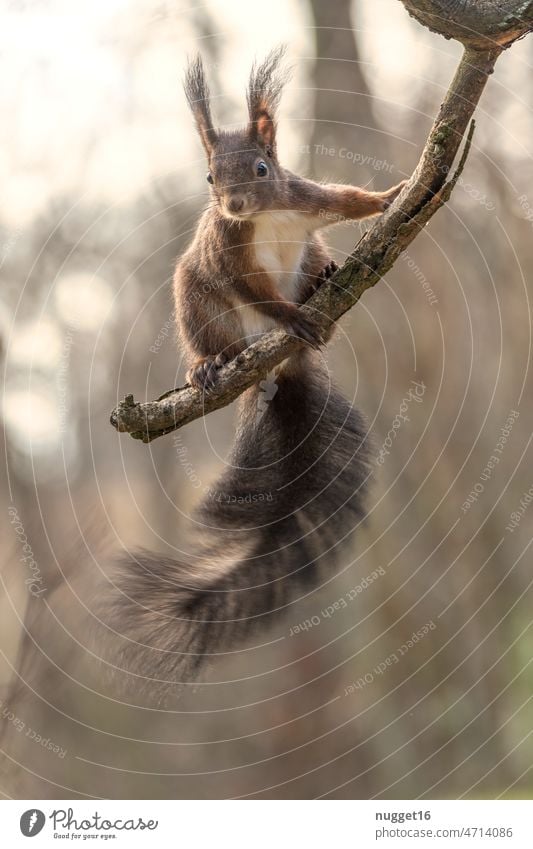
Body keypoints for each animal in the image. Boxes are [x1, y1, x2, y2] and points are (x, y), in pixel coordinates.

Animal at [110, 46, 406, 684]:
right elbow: (256, 291)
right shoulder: (228, 254)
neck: (265, 218)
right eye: (210, 177)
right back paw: (209, 366)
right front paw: (287, 314)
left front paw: (391, 196)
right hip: (198, 303)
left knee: (319, 267)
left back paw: (321, 290)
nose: (235, 203)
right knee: (216, 338)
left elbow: (346, 200)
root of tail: (276, 369)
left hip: (312, 255)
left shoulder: (306, 201)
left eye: (264, 169)